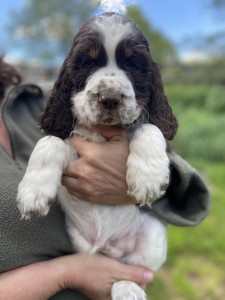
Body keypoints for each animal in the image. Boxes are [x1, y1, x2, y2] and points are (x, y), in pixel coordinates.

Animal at [17, 12, 178, 300]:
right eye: (87, 62)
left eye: (133, 63)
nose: (110, 98)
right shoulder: (74, 145)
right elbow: (50, 141)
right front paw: (33, 193)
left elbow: (150, 126)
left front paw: (147, 179)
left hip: (153, 237)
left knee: (130, 270)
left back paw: (129, 290)